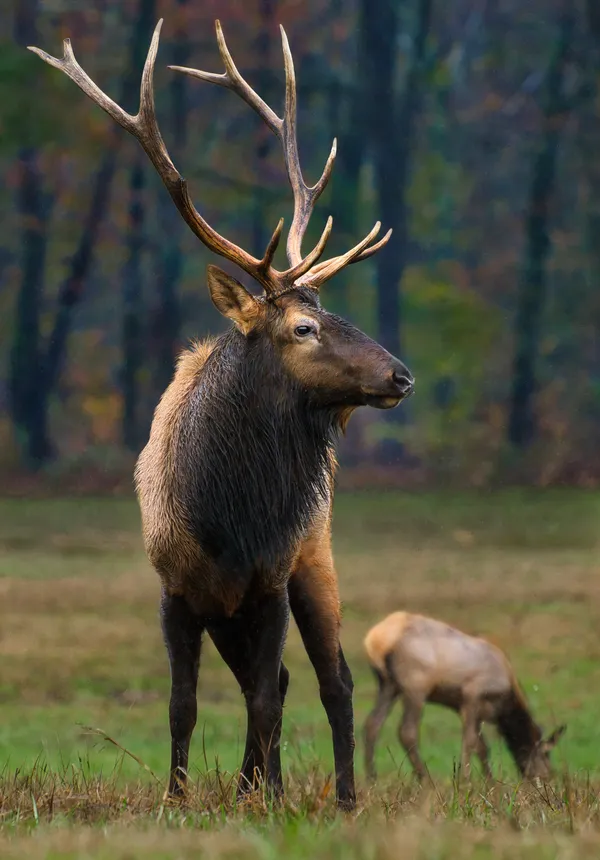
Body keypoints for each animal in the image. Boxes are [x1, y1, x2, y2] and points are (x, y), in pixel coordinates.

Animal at [30, 16, 414, 808]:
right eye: (303, 326)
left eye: (329, 312)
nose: (400, 374)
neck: (225, 516)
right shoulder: (176, 589)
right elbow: (185, 702)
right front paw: (182, 798)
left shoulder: (268, 579)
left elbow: (269, 695)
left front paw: (265, 798)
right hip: (231, 607)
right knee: (285, 680)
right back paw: (253, 783)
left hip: (315, 554)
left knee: (333, 679)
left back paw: (340, 795)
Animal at [364, 612, 564, 780]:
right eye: (546, 754)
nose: (548, 777)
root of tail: (375, 641)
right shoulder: (471, 696)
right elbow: (470, 741)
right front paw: (464, 780)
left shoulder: (462, 708)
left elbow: (482, 747)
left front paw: (490, 782)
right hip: (416, 687)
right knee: (407, 732)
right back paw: (426, 781)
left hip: (388, 686)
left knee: (372, 724)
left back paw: (371, 779)